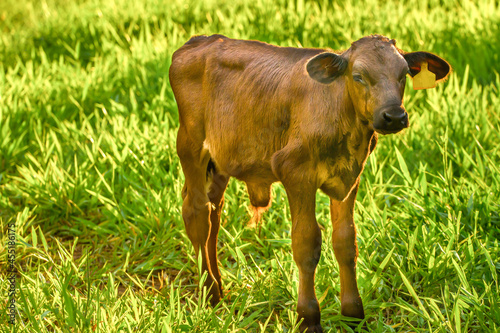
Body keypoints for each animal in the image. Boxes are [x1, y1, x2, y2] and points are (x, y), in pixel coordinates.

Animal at [170, 35, 452, 330]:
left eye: (404, 74)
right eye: (358, 76)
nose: (394, 116)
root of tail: (198, 41)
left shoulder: (350, 177)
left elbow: (345, 241)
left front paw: (353, 314)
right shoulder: (295, 172)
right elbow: (306, 243)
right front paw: (308, 318)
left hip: (220, 161)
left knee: (214, 214)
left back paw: (219, 287)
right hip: (190, 144)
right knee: (196, 213)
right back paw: (210, 293)